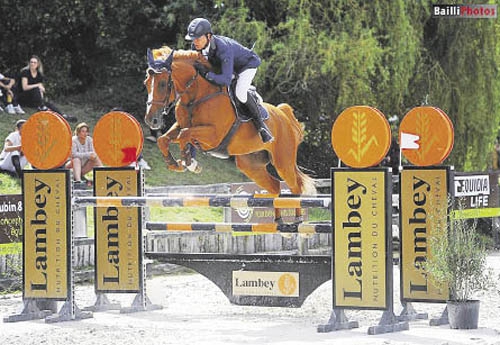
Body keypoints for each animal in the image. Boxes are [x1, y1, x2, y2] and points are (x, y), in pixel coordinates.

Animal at [145, 46, 314, 223]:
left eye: (162, 84)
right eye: (146, 83)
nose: (151, 120)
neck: (197, 95)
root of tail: (284, 115)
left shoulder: (213, 135)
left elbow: (184, 135)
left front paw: (188, 162)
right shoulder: (181, 126)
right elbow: (164, 139)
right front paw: (175, 163)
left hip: (283, 162)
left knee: (295, 186)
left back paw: (297, 220)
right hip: (250, 165)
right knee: (275, 186)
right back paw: (279, 221)